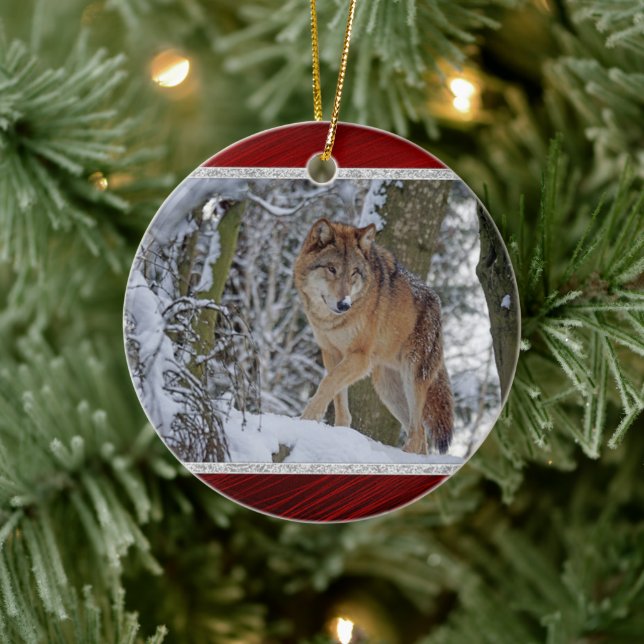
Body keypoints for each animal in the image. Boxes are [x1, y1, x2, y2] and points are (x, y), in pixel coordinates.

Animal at [294, 218, 454, 454]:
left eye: (354, 272)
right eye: (331, 269)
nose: (344, 304)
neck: (333, 321)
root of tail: (437, 304)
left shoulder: (360, 358)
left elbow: (327, 384)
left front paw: (307, 419)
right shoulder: (331, 353)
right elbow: (338, 396)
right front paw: (339, 432)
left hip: (412, 378)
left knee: (417, 432)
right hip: (387, 389)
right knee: (421, 434)